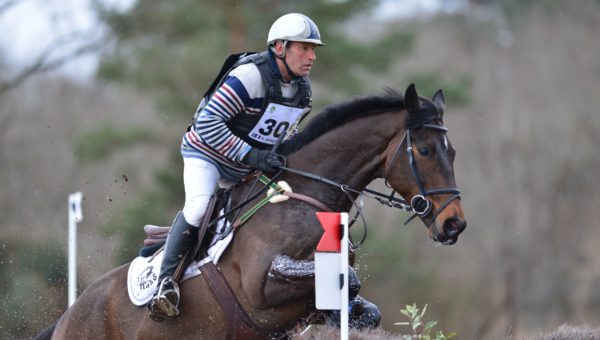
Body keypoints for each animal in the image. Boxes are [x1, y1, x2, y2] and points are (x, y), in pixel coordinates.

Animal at [44, 83, 466, 338]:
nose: (454, 225)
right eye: (425, 150)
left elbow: (359, 300)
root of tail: (67, 316)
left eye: (453, 152)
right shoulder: (259, 287)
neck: (305, 195)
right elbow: (347, 277)